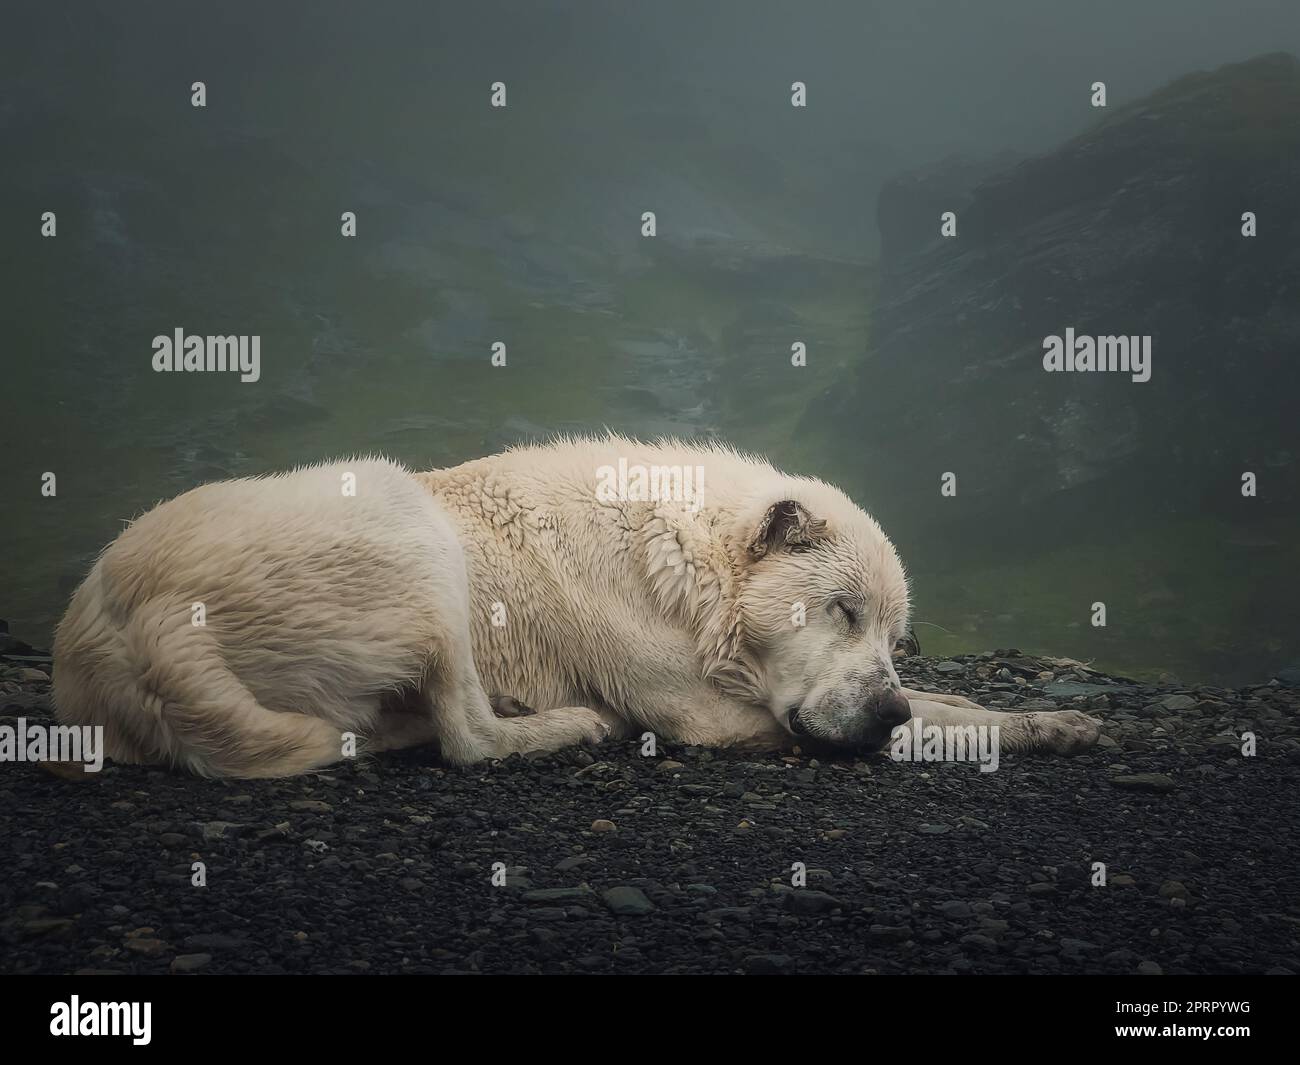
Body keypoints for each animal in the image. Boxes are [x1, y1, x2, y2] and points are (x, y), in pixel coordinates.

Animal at [55, 436, 1102, 780]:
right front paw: (1027, 724)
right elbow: (938, 721)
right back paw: (567, 725)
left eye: (895, 634)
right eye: (840, 609)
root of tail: (126, 619)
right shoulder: (714, 713)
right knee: (469, 736)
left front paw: (1050, 719)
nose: (880, 707)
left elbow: (948, 704)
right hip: (401, 516)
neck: (691, 573)